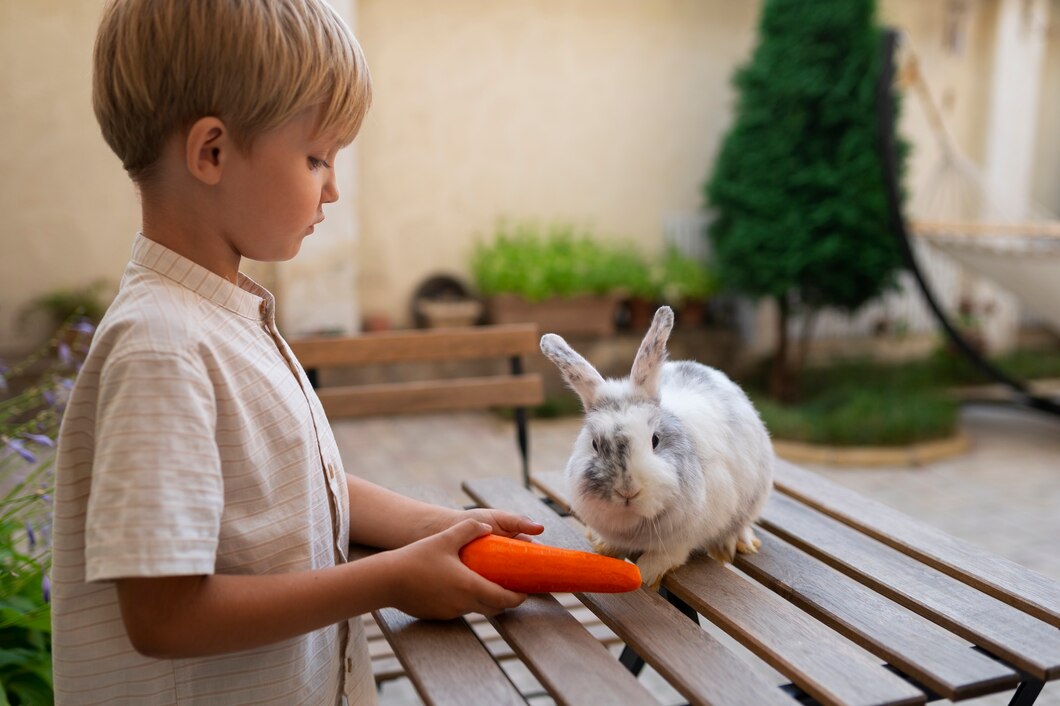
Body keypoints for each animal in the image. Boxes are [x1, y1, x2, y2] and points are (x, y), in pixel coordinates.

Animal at [542, 305, 775, 585]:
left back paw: (738, 544)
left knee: (742, 522)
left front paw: (645, 574)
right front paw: (605, 547)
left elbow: (668, 555)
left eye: (655, 440)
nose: (627, 490)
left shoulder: (686, 535)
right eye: (595, 444)